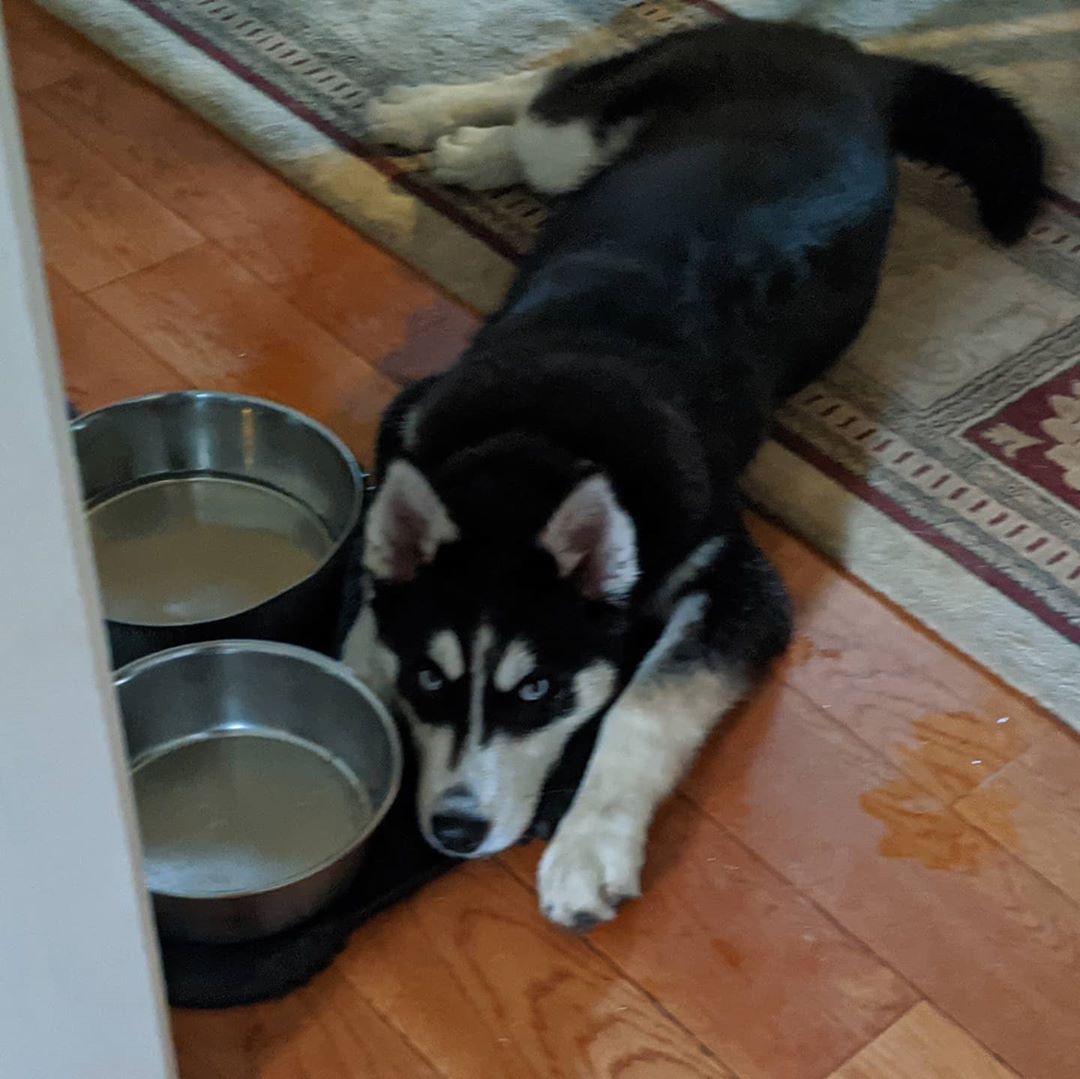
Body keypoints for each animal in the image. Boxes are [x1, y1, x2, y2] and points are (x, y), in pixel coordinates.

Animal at [341, 16, 1041, 928]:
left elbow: (643, 705)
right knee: (552, 97)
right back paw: (435, 120)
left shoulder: (739, 583)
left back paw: (460, 141)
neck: (544, 438)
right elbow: (367, 615)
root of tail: (848, 56)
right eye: (429, 678)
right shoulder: (411, 420)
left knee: (555, 97)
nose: (456, 829)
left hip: (597, 127)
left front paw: (589, 848)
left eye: (540, 691)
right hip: (586, 136)